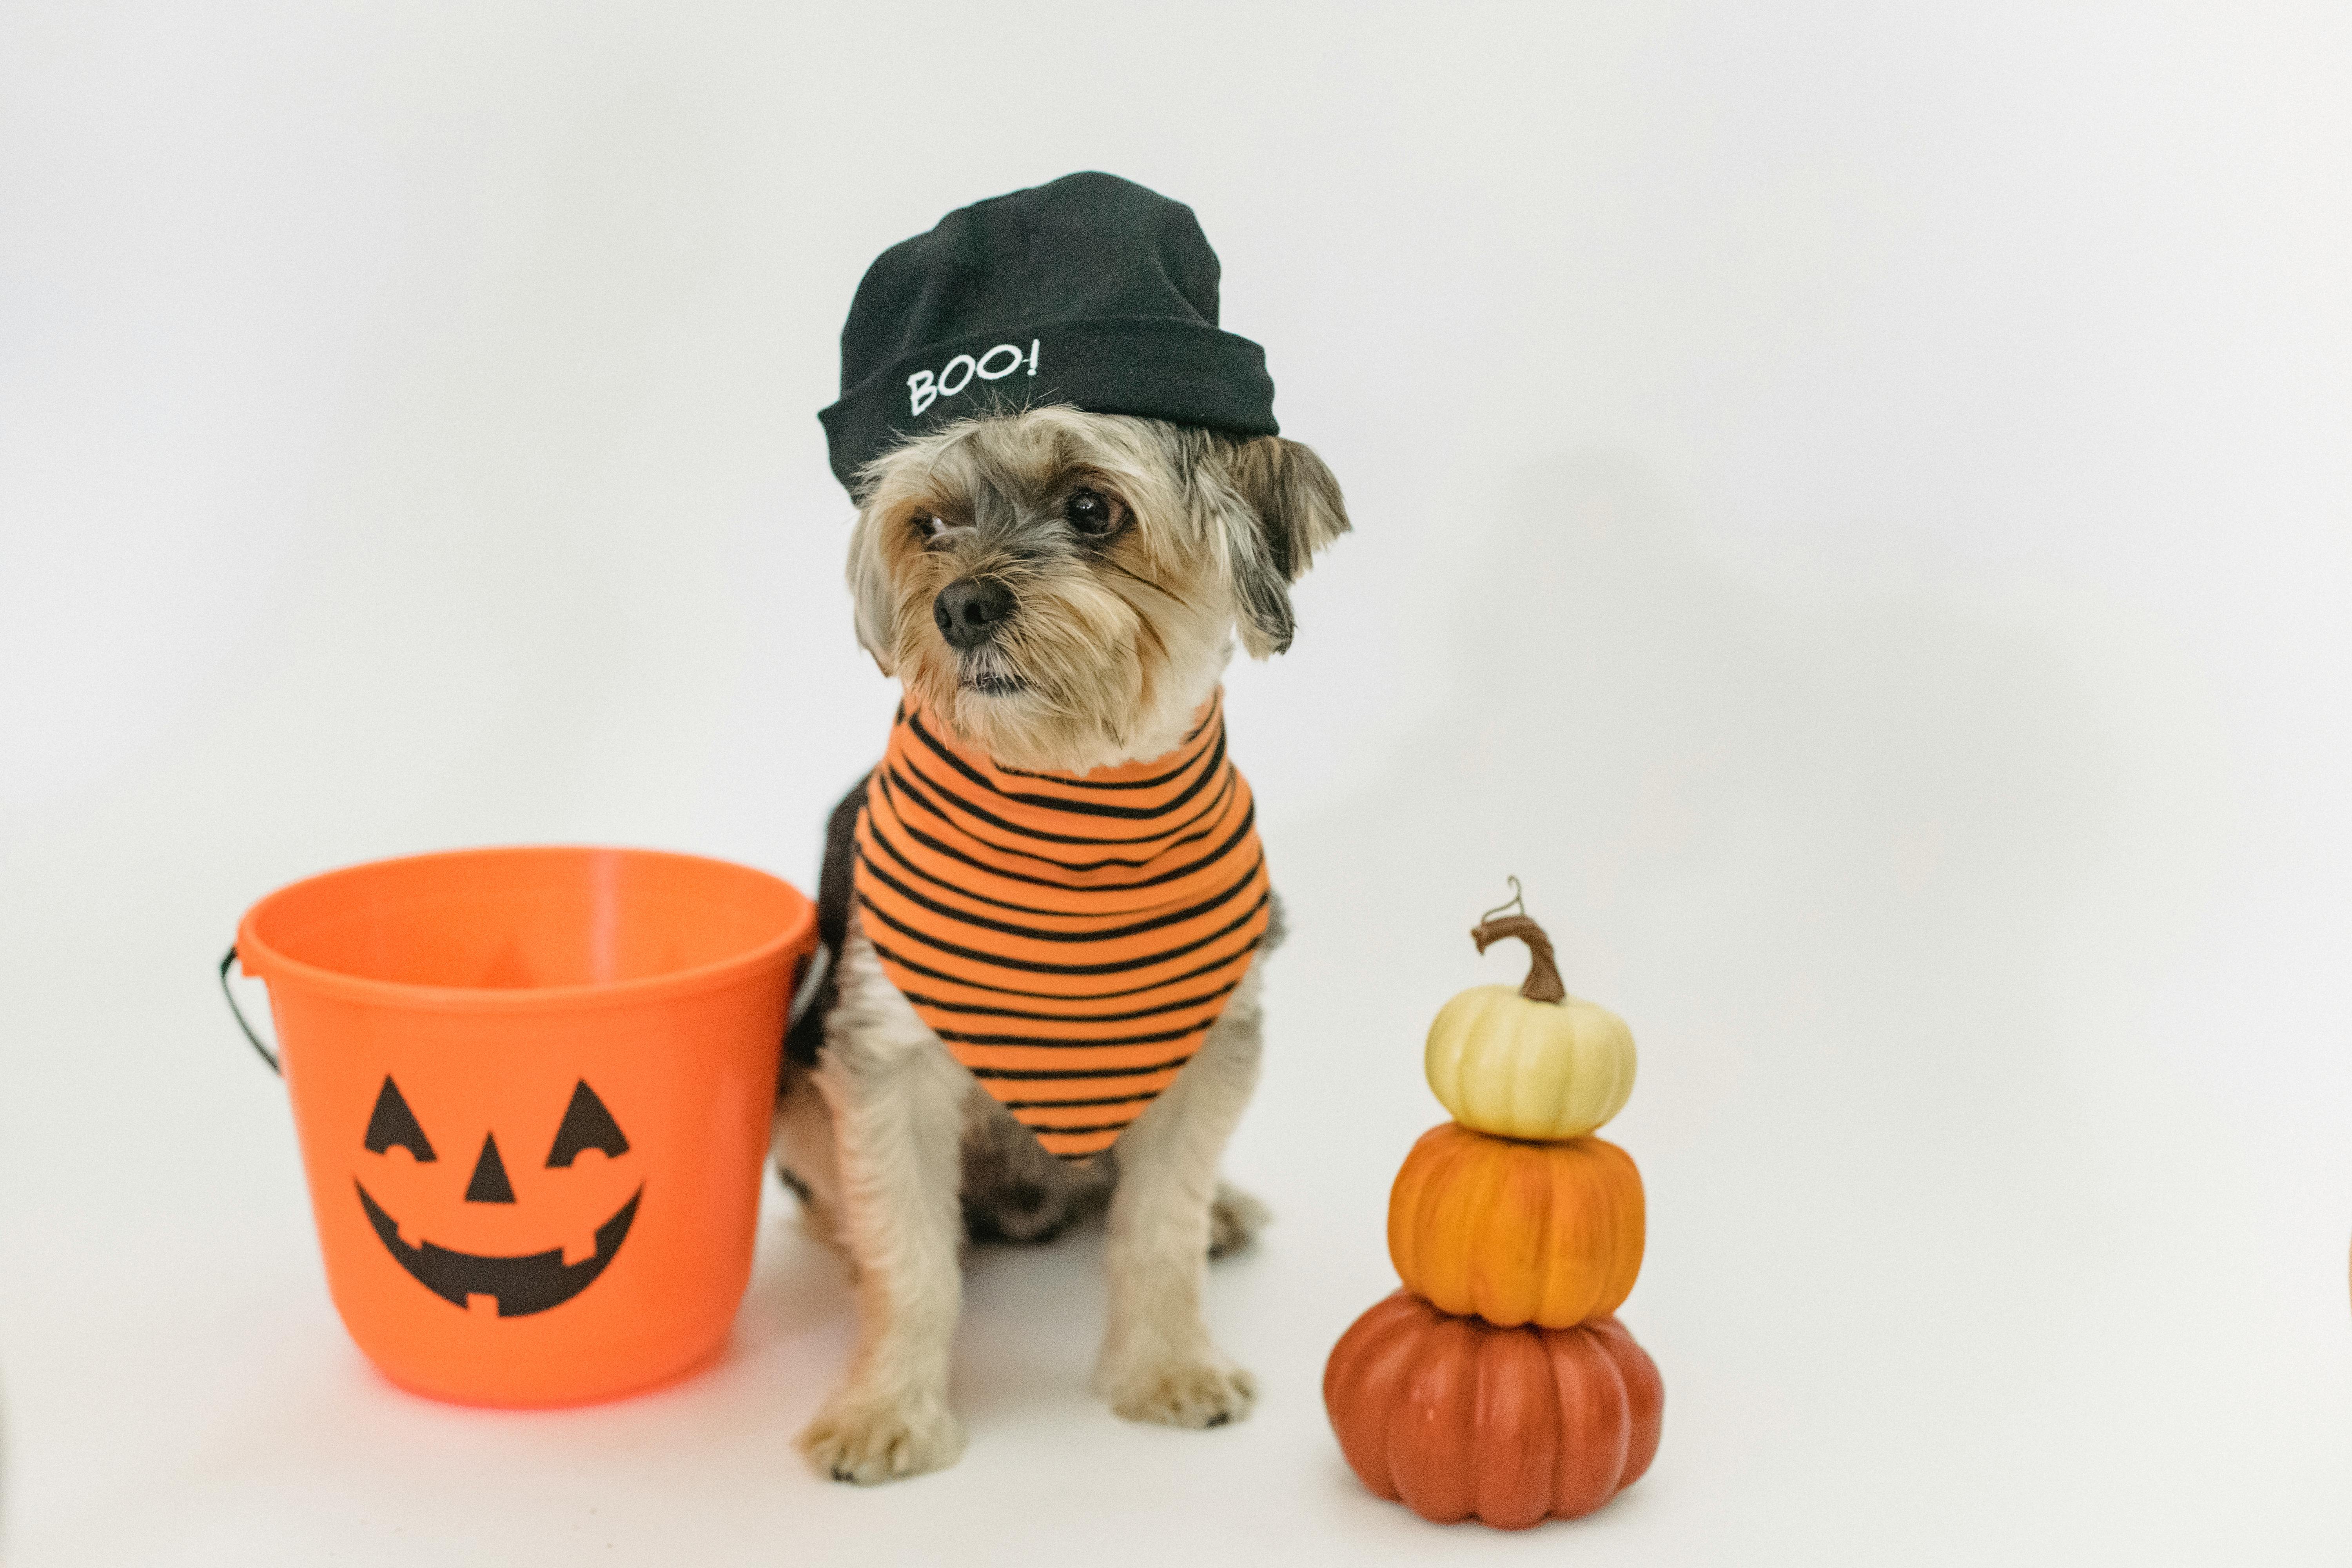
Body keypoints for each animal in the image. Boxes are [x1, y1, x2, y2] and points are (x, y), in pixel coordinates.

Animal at [776, 409, 1345, 1486]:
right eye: (929, 524)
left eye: (1092, 507)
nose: (959, 604)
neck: (1073, 811)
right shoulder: (884, 1060)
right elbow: (908, 1260)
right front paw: (886, 1410)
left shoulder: (1209, 1043)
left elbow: (1159, 1231)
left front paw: (1169, 1369)